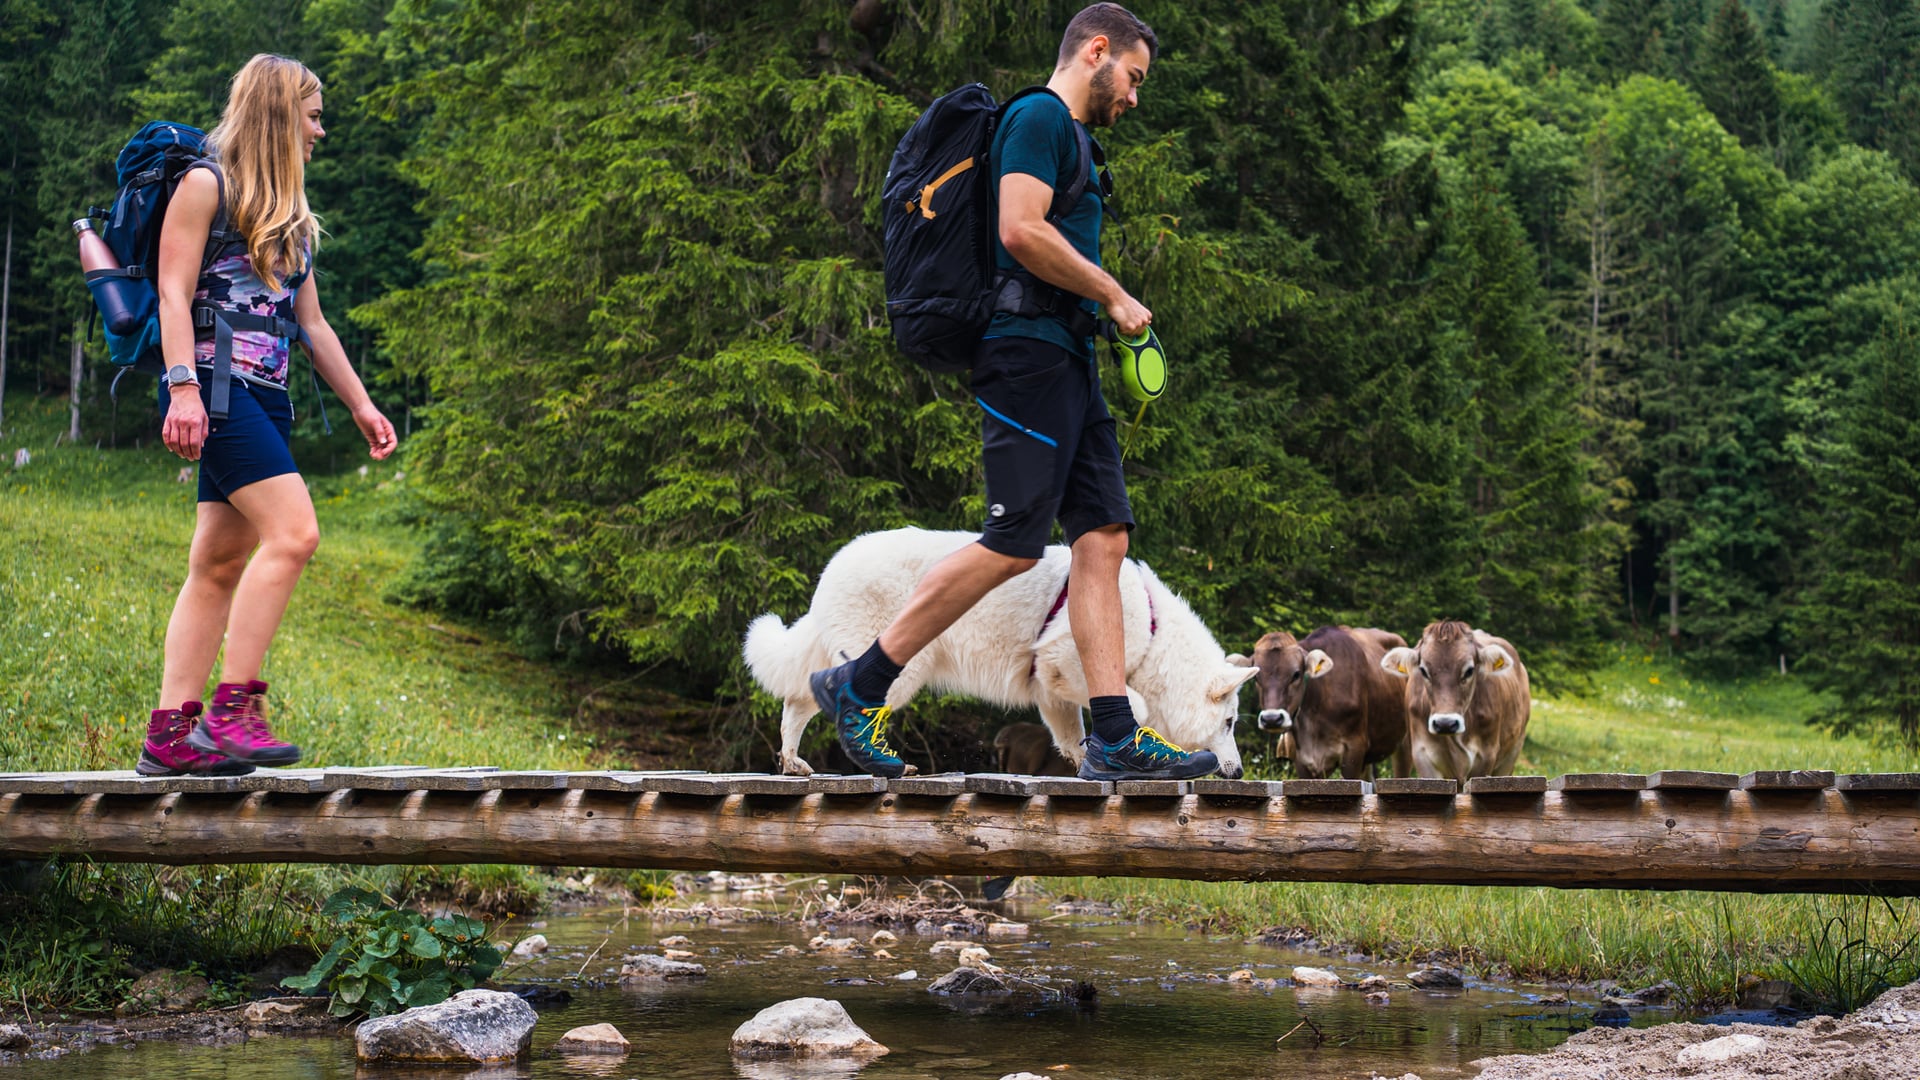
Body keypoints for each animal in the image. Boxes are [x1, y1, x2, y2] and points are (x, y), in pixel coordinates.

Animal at [737, 526, 1259, 772]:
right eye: (1230, 722)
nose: (1235, 774)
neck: (1153, 634)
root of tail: (834, 567)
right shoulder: (1070, 663)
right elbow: (1135, 705)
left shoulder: (1052, 692)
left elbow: (1073, 736)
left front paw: (1088, 765)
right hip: (903, 670)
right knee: (838, 696)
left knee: (799, 699)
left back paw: (792, 762)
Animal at [1382, 618, 1528, 776]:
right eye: (1423, 671)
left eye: (1469, 670)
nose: (1445, 723)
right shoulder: (1422, 754)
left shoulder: (1486, 756)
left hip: (1512, 754)